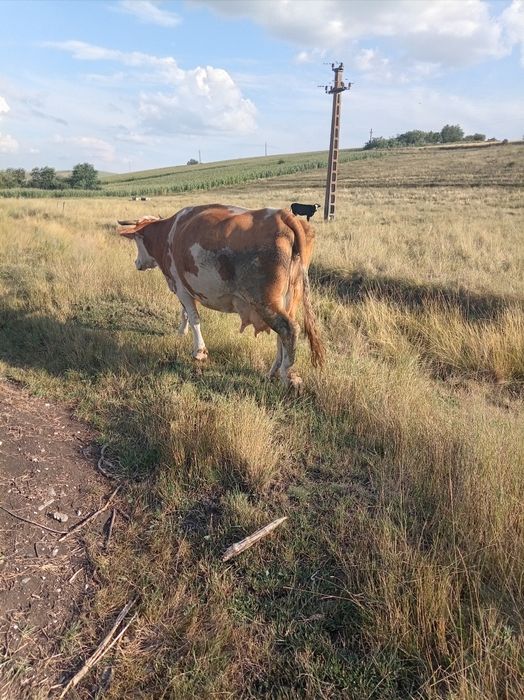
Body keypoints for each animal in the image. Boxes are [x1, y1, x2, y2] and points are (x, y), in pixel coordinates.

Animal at [118, 204, 324, 391]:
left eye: (136, 240)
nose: (136, 263)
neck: (167, 233)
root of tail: (282, 215)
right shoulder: (185, 287)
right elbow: (184, 313)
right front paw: (182, 331)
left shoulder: (180, 286)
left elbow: (193, 317)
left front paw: (199, 351)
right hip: (289, 300)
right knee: (282, 335)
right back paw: (272, 372)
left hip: (265, 302)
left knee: (289, 330)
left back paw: (284, 376)